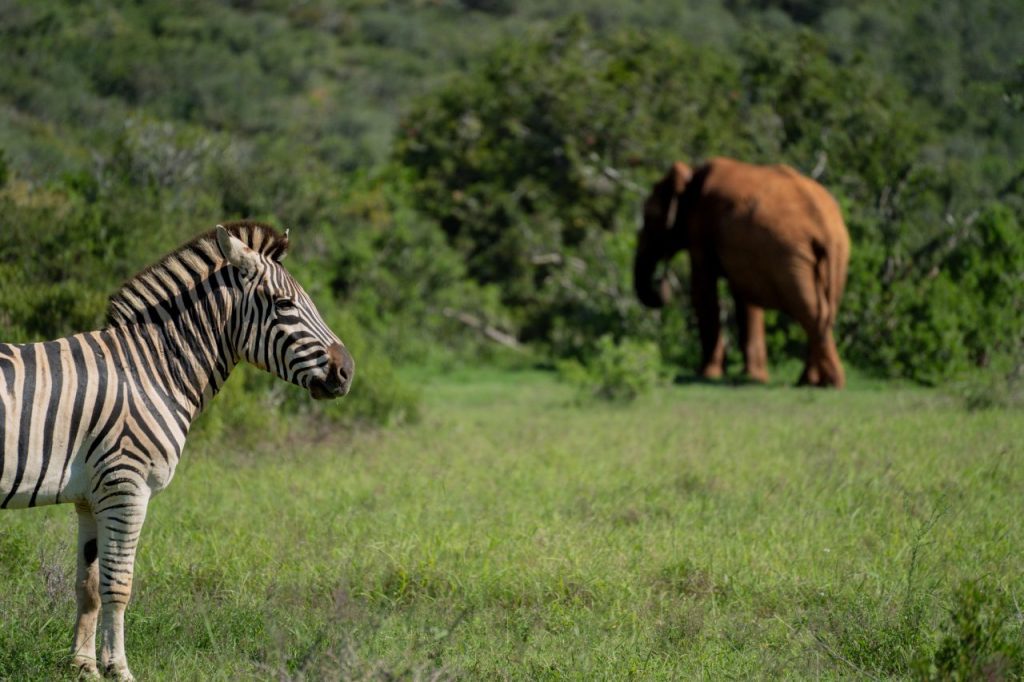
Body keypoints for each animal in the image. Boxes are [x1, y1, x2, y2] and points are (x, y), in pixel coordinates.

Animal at [634, 156, 850, 388]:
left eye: (650, 218)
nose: (662, 286)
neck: (692, 175)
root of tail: (825, 226)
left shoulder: (701, 225)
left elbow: (703, 292)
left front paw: (707, 374)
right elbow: (746, 296)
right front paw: (754, 376)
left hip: (791, 254)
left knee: (811, 310)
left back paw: (830, 383)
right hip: (834, 254)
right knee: (825, 309)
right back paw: (810, 382)